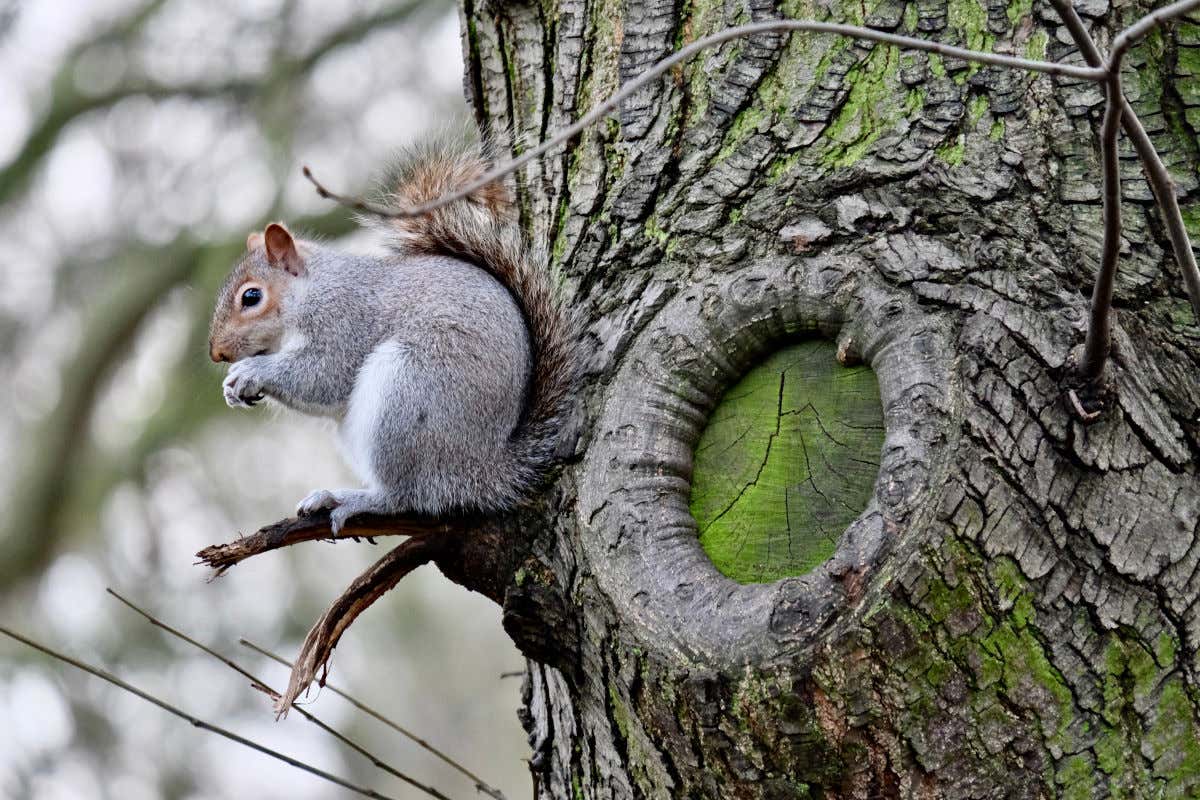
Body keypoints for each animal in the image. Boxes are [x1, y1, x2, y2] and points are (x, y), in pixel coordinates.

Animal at [207, 135, 576, 532]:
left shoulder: (345, 323)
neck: (311, 292)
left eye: (251, 297)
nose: (216, 353)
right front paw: (231, 387)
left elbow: (323, 377)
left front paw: (250, 372)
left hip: (408, 393)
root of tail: (483, 467)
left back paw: (351, 498)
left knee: (406, 494)